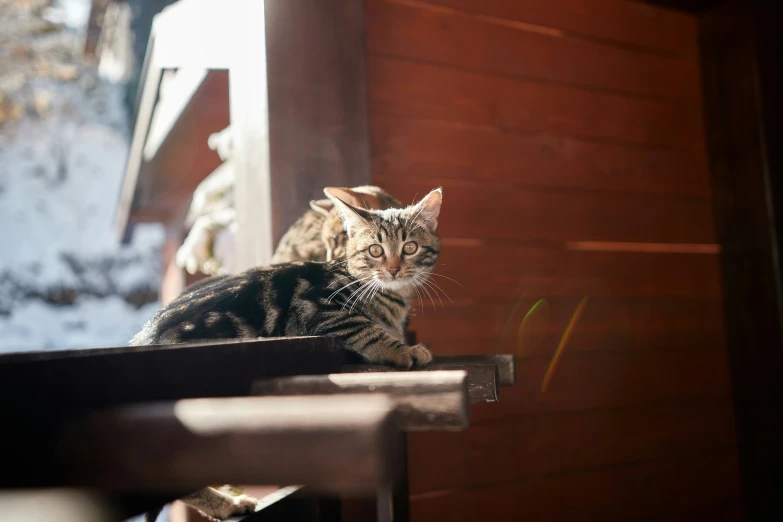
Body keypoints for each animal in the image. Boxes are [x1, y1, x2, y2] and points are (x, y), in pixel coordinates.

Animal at [132, 186, 444, 516]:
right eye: (375, 250)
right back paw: (224, 504)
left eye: (409, 247)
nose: (394, 269)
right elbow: (367, 332)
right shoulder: (321, 309)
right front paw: (405, 350)